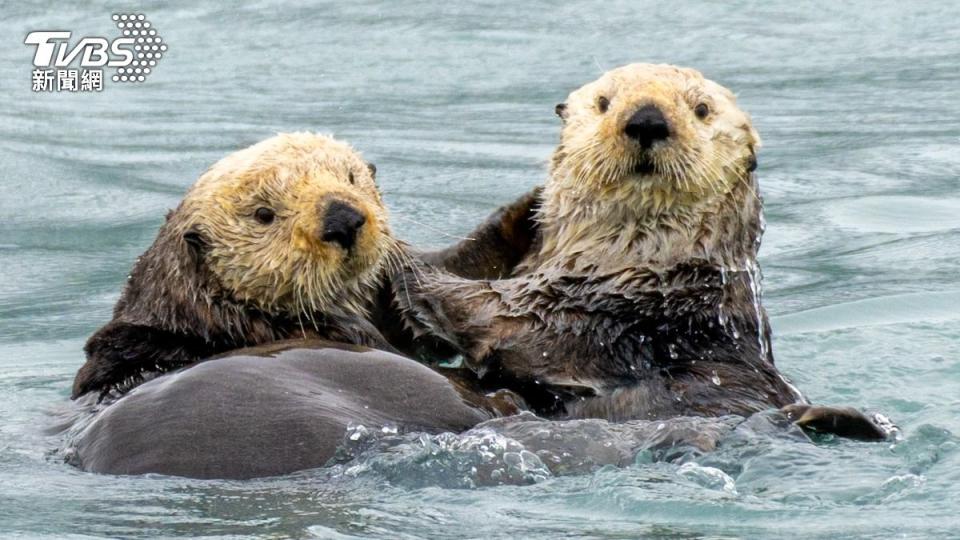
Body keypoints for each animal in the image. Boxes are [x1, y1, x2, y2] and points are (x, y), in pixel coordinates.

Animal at [396, 65, 892, 440]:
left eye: (701, 109)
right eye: (603, 102)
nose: (647, 120)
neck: (631, 255)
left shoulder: (612, 308)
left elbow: (507, 318)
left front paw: (407, 268)